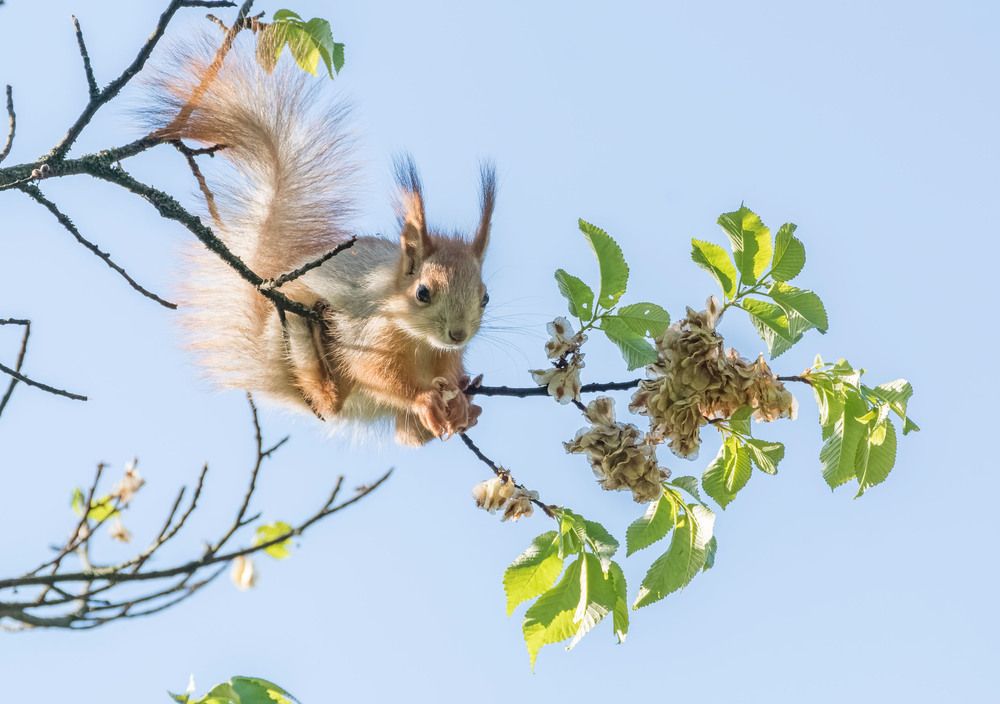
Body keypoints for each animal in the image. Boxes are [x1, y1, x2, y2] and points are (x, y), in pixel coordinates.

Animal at [148, 43, 491, 446]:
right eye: (422, 292)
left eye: (485, 297)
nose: (458, 334)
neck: (421, 343)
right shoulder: (367, 333)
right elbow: (371, 370)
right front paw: (424, 398)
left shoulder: (446, 357)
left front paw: (460, 400)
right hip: (286, 331)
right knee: (329, 400)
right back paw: (315, 349)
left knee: (408, 436)